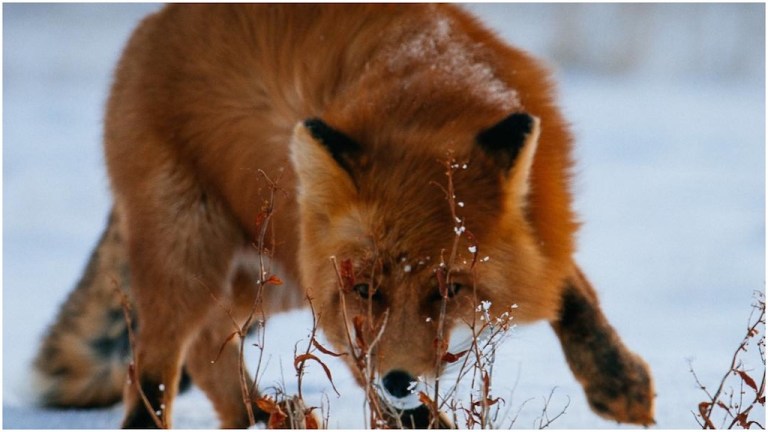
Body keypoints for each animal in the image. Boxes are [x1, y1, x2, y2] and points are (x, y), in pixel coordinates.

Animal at [34, 4, 656, 428]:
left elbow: (571, 293)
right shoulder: (342, 316)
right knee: (153, 368)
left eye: (450, 289)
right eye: (365, 290)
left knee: (212, 340)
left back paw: (259, 414)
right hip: (191, 253)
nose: (400, 378)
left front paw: (618, 380)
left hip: (274, 273)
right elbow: (401, 407)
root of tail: (156, 18)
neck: (428, 98)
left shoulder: (542, 222)